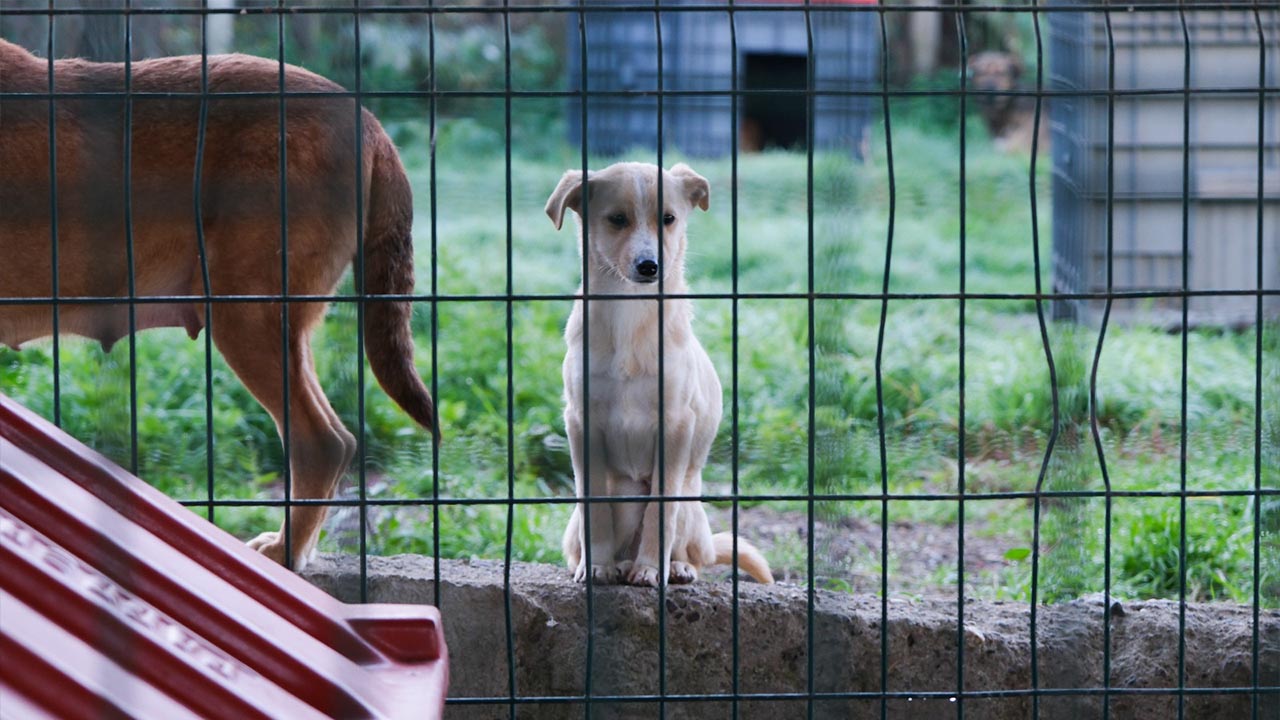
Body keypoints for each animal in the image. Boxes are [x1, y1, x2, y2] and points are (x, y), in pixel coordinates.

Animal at [0, 39, 437, 568]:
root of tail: (366, 119)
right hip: (283, 326)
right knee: (335, 438)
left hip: (244, 312)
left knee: (322, 443)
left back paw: (282, 554)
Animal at [542, 161, 768, 584]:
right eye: (617, 219)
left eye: (668, 219)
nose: (650, 266)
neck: (630, 313)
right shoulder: (581, 422)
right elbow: (594, 506)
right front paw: (596, 566)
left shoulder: (676, 424)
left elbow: (660, 512)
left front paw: (651, 568)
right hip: (585, 517)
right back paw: (613, 563)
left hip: (692, 508)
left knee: (693, 549)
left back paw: (674, 566)